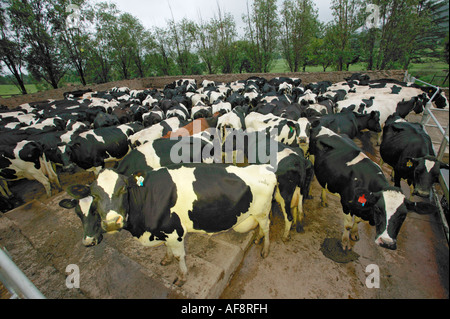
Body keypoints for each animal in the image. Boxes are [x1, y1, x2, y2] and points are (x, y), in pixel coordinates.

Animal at [59, 164, 278, 286]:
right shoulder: (162, 231)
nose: (113, 222)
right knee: (261, 227)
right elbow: (167, 249)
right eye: (94, 197)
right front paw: (166, 258)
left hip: (262, 210)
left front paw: (182, 276)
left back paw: (265, 249)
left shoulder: (174, 231)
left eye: (122, 189)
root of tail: (265, 166)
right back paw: (258, 239)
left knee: (267, 227)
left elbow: (180, 256)